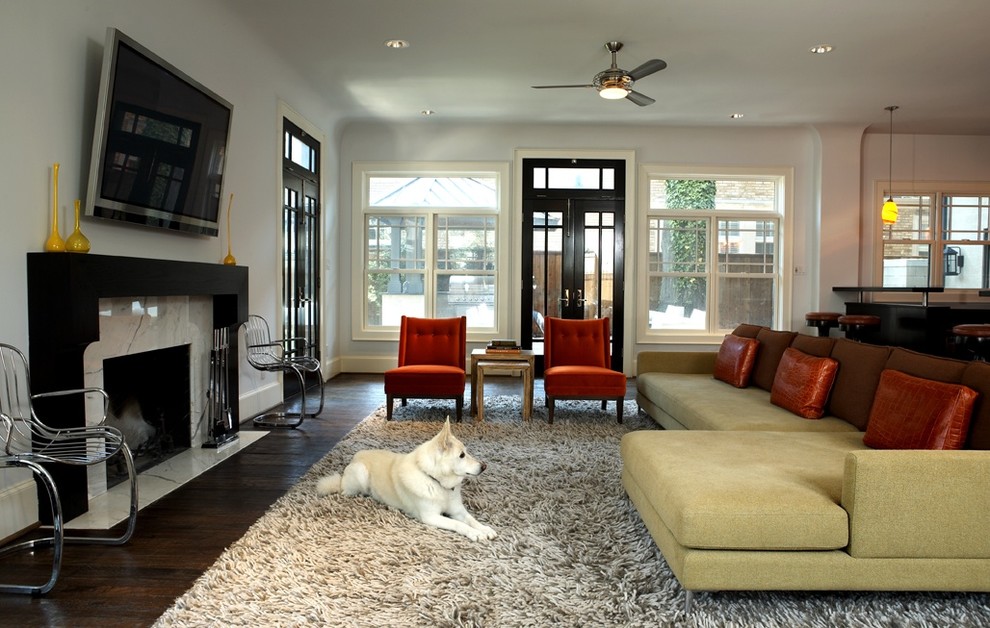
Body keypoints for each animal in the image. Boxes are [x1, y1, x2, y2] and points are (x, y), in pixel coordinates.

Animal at [316, 418, 496, 540]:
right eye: (461, 455)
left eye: (466, 452)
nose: (484, 466)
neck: (435, 481)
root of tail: (355, 457)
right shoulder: (431, 517)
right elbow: (458, 524)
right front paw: (474, 533)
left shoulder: (457, 510)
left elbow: (470, 519)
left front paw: (484, 529)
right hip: (360, 474)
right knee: (346, 491)